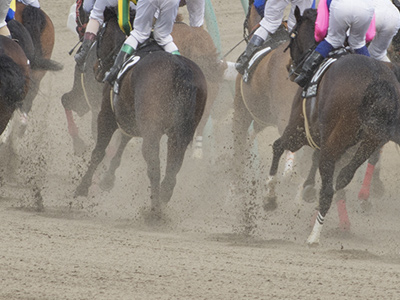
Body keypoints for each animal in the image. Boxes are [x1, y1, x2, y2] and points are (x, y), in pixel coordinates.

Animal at [73, 14, 208, 213]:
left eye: (100, 34)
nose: (95, 67)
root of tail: (181, 71)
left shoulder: (107, 114)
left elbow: (99, 151)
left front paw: (82, 188)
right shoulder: (131, 119)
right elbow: (123, 141)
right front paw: (108, 179)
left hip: (152, 129)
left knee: (153, 162)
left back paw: (154, 209)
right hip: (180, 133)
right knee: (173, 167)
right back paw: (163, 197)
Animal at [266, 8, 400, 245]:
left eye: (292, 35)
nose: (290, 68)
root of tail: (377, 81)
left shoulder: (299, 129)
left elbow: (278, 146)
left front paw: (270, 197)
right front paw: (306, 189)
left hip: (335, 142)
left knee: (328, 188)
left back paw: (314, 236)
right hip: (370, 140)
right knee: (344, 176)